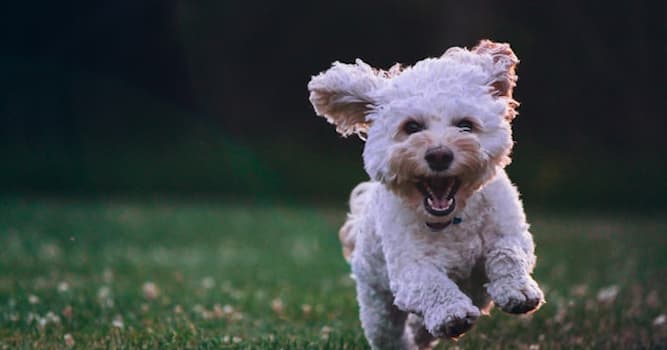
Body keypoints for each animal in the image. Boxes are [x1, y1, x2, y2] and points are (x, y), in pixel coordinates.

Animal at [310, 39, 544, 348]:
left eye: (465, 125)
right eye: (411, 127)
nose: (439, 155)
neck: (453, 220)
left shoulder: (510, 231)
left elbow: (508, 253)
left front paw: (518, 291)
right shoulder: (409, 269)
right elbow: (431, 284)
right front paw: (452, 313)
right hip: (376, 300)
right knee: (389, 332)